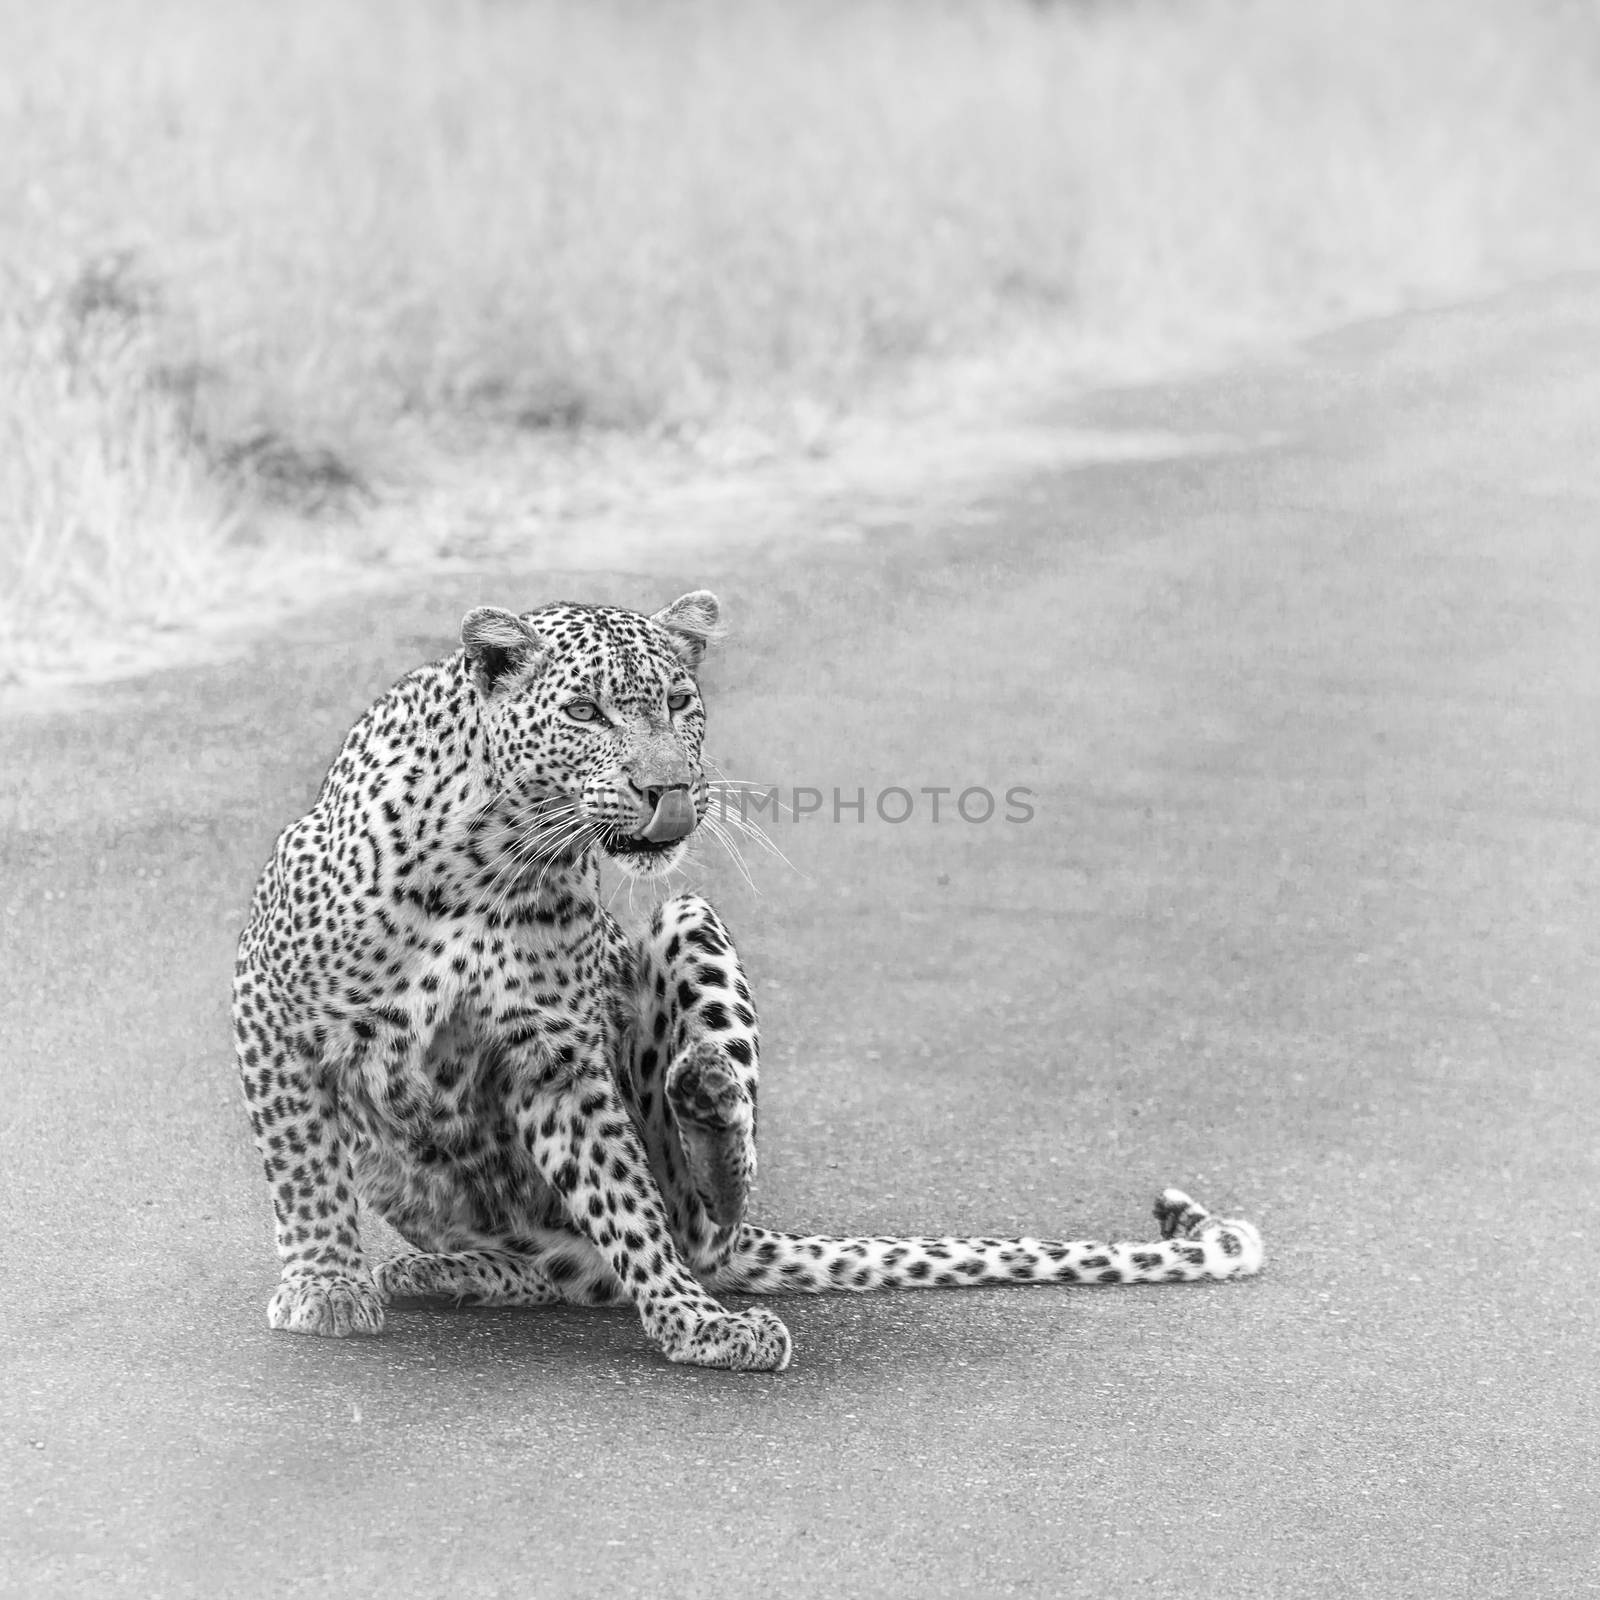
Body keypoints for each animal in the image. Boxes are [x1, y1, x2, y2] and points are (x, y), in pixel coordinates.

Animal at [233, 595, 1260, 1369]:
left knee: (705, 1215)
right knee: (561, 1264)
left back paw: (704, 1097)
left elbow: (626, 1198)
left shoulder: (556, 1061)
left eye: (681, 701)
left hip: (688, 919)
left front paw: (694, 1324)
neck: (498, 856)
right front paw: (325, 1283)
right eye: (586, 714)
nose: (669, 789)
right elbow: (302, 1166)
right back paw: (441, 1274)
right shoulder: (272, 1007)